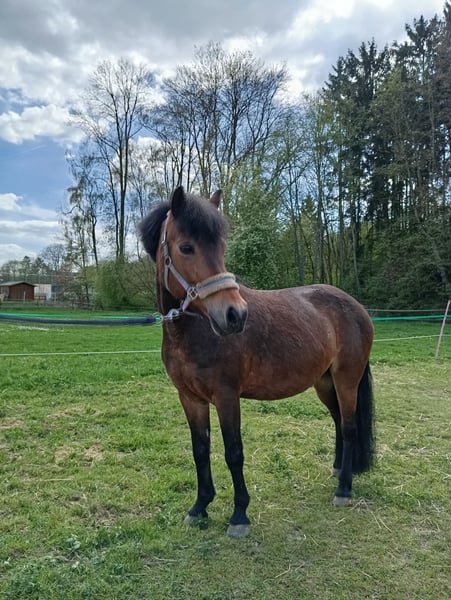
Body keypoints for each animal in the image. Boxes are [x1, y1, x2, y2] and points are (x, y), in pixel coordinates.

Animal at [139, 186, 375, 538]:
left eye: (221, 247)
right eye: (186, 247)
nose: (235, 315)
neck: (194, 331)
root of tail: (357, 307)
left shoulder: (226, 397)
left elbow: (233, 453)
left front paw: (239, 515)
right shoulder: (190, 398)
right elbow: (200, 451)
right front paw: (199, 508)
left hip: (348, 379)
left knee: (348, 427)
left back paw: (343, 489)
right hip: (324, 382)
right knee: (337, 421)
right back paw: (336, 470)